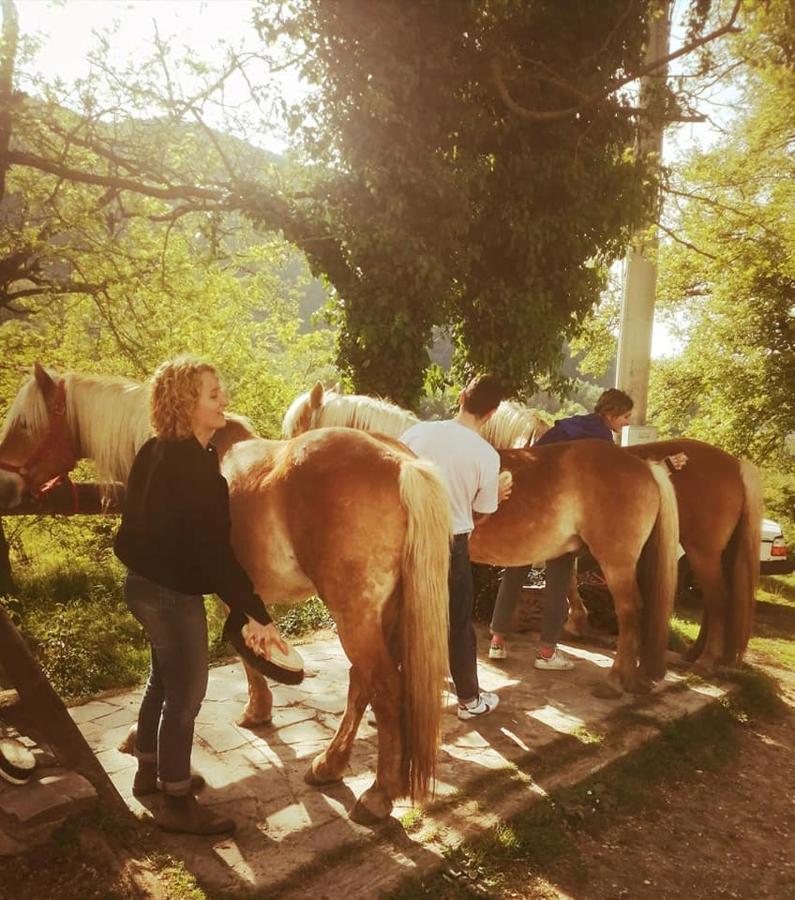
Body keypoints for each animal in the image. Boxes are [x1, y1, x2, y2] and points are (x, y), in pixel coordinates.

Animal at [0, 366, 450, 824]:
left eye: (24, 424)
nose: (5, 484)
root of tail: (400, 463)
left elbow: (206, 663)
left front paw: (250, 712)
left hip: (354, 616)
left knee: (383, 689)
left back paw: (376, 795)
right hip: (381, 614)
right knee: (362, 682)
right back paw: (330, 764)